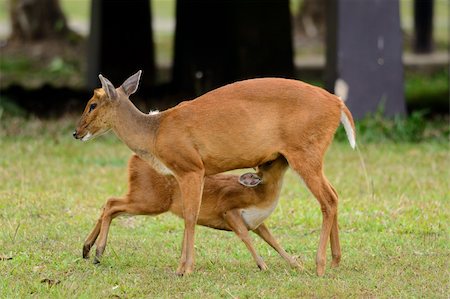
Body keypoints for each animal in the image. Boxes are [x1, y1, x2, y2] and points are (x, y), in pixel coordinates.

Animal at [73, 70, 356, 276]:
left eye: (92, 104)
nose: (76, 132)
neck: (155, 133)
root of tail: (338, 104)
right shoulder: (185, 172)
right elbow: (189, 215)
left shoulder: (191, 167)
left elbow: (190, 215)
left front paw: (184, 268)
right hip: (311, 155)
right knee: (334, 194)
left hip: (304, 152)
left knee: (328, 199)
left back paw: (320, 265)